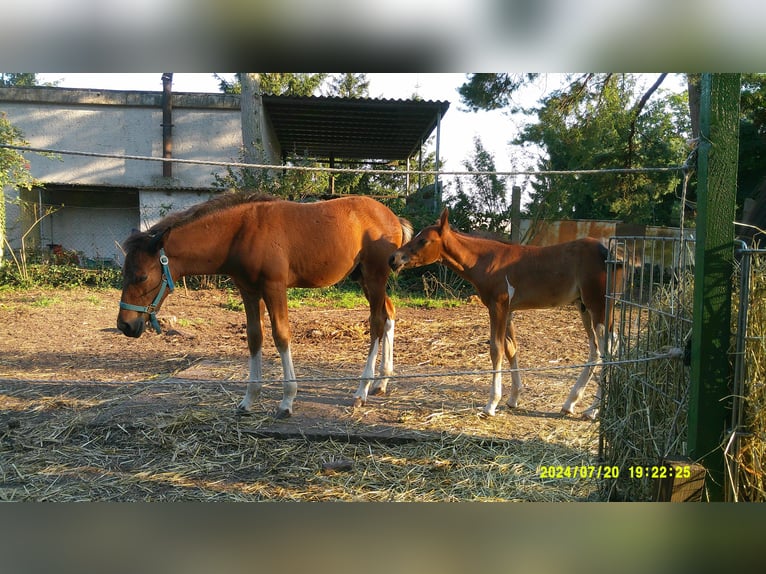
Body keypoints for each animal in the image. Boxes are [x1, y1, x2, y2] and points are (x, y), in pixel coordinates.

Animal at [117, 194, 414, 418]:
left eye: (141, 276)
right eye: (124, 273)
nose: (126, 325)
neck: (240, 233)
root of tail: (393, 217)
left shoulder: (274, 287)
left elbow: (281, 336)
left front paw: (287, 401)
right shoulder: (248, 290)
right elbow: (254, 337)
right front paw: (249, 399)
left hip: (374, 276)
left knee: (376, 323)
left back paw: (362, 390)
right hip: (363, 277)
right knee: (388, 314)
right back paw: (382, 381)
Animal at [390, 209, 632, 420]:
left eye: (423, 241)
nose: (394, 259)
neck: (486, 261)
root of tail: (611, 254)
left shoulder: (498, 307)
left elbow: (496, 349)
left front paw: (491, 405)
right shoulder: (509, 311)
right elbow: (511, 348)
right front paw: (513, 398)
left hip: (599, 306)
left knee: (609, 348)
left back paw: (592, 410)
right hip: (584, 308)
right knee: (596, 350)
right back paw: (570, 403)